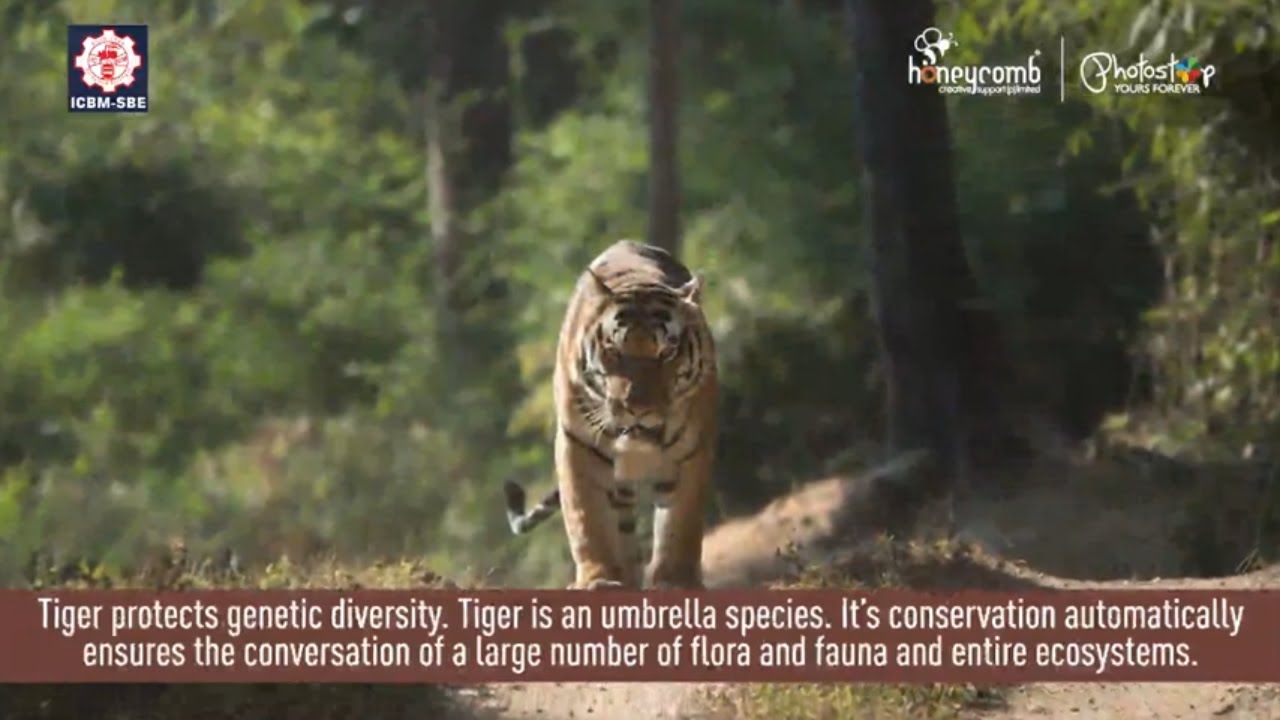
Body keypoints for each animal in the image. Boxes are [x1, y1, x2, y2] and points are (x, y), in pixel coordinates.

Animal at [503, 239, 718, 590]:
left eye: (667, 352)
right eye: (614, 351)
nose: (639, 409)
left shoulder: (693, 450)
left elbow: (680, 523)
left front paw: (675, 581)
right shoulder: (578, 444)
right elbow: (587, 520)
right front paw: (599, 579)